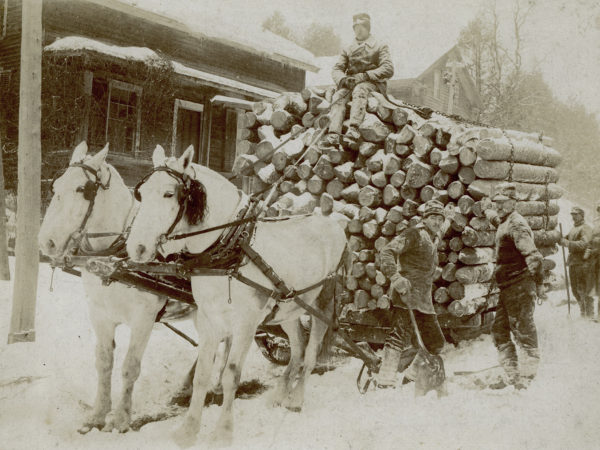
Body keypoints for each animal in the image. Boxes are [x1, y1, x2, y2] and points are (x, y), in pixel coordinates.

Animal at [38, 142, 168, 434]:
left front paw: (121, 419)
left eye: (81, 189)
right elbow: (104, 362)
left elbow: (130, 366)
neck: (115, 258)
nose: (46, 242)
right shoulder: (100, 313)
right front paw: (98, 414)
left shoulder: (143, 318)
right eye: (56, 187)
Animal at [129, 145, 350, 446]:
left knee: (312, 351)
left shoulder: (246, 323)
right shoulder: (209, 319)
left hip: (322, 303)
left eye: (168, 194)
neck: (230, 249)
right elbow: (202, 375)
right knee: (298, 347)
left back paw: (296, 399)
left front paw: (223, 431)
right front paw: (188, 431)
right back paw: (279, 394)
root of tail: (333, 223)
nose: (136, 248)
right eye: (141, 193)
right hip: (287, 308)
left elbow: (231, 374)